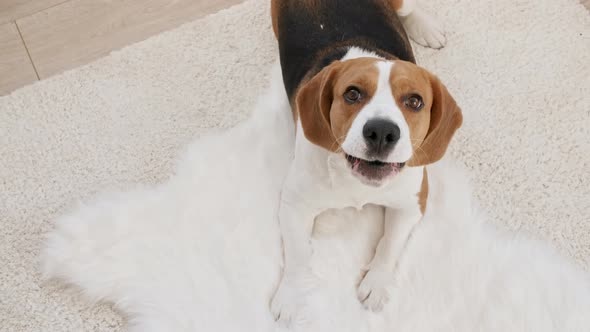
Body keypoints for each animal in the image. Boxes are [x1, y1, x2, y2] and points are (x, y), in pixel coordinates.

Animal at [272, 0, 462, 324]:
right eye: (352, 94)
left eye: (415, 101)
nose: (382, 132)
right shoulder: (294, 203)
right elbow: (298, 254)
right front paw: (291, 294)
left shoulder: (412, 203)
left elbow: (390, 244)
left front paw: (376, 283)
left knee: (410, 10)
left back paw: (428, 29)